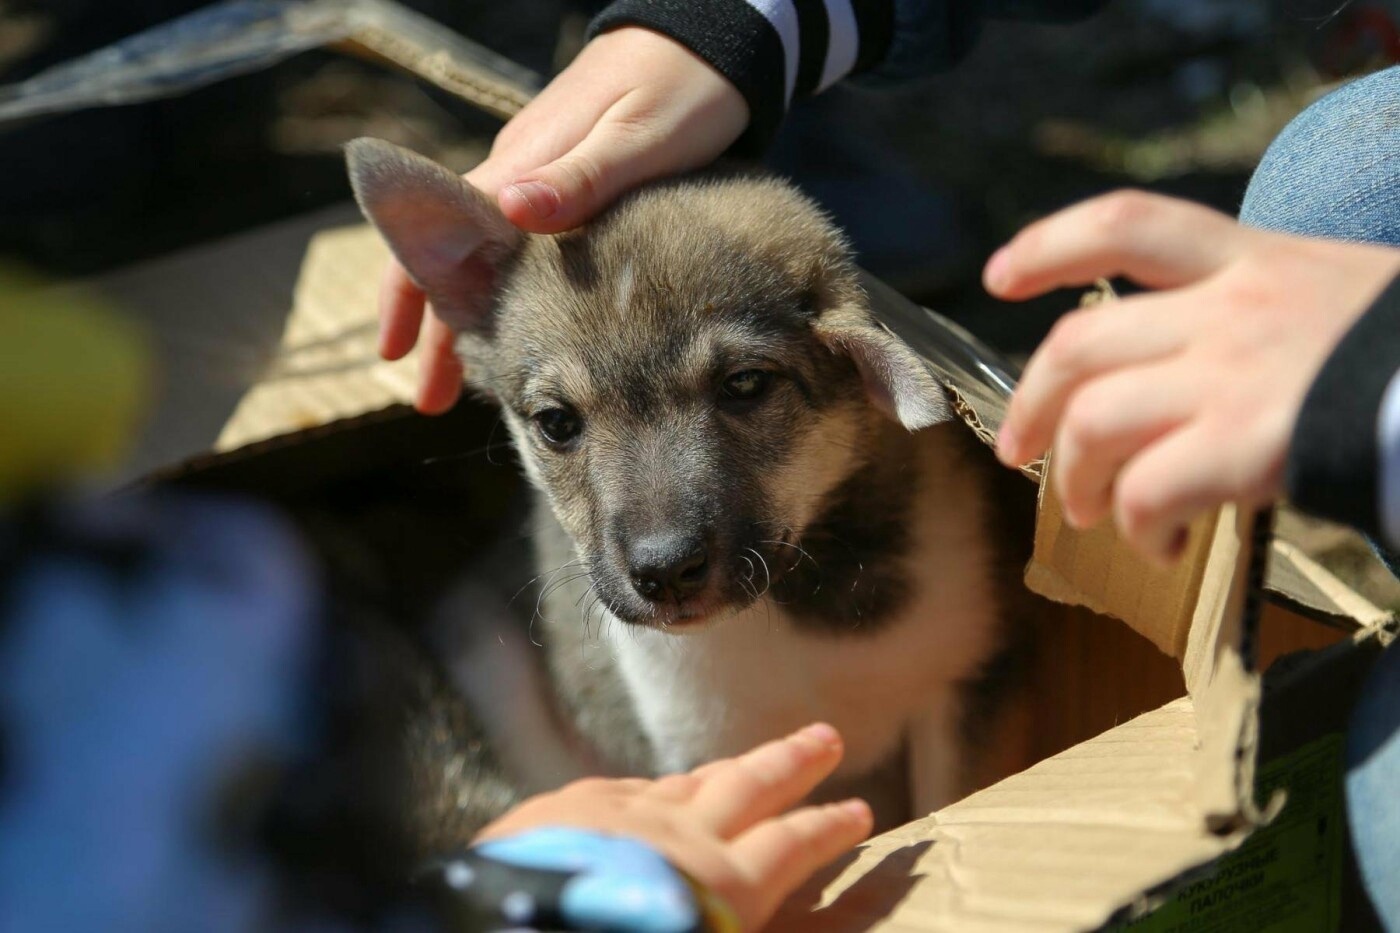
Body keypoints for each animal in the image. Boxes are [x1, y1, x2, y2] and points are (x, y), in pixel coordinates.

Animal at [344, 137, 1036, 829]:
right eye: (557, 423)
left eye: (746, 384)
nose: (665, 574)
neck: (791, 606)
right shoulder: (705, 754)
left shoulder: (960, 690)